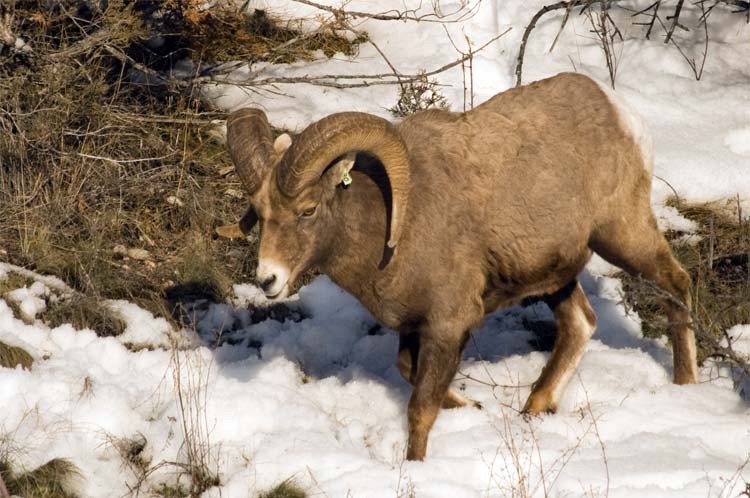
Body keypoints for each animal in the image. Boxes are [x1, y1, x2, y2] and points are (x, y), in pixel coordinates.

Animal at [222, 74, 700, 462]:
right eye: (259, 213)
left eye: (307, 210)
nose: (268, 279)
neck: (390, 227)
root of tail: (619, 109)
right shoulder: (416, 327)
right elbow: (409, 372)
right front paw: (474, 407)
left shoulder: (449, 324)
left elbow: (420, 409)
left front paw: (416, 467)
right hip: (555, 277)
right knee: (581, 324)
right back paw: (536, 407)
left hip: (622, 235)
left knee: (677, 284)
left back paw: (685, 386)